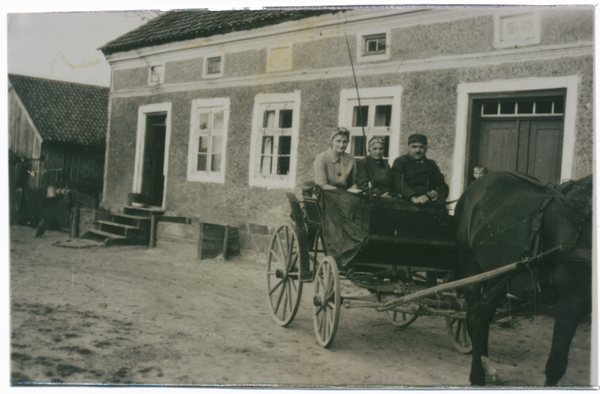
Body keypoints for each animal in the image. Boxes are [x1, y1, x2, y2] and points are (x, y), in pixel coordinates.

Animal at [454, 172, 592, 384]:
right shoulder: (571, 301)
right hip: (471, 265)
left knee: (485, 312)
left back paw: (487, 367)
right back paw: (477, 375)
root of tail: (477, 183)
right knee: (474, 316)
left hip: (499, 273)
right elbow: (556, 366)